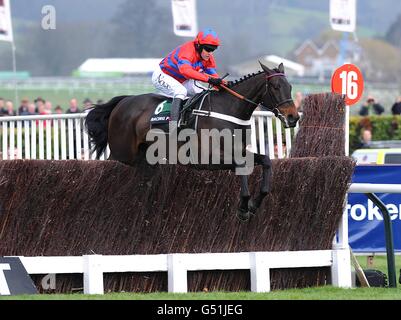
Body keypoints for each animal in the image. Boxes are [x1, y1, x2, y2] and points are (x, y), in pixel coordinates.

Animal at [85, 62, 296, 220]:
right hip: (122, 153)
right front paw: (244, 206)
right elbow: (241, 164)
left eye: (290, 87)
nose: (293, 117)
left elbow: (266, 160)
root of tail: (122, 102)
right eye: (276, 87)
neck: (228, 109)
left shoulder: (239, 150)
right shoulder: (207, 159)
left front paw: (255, 203)